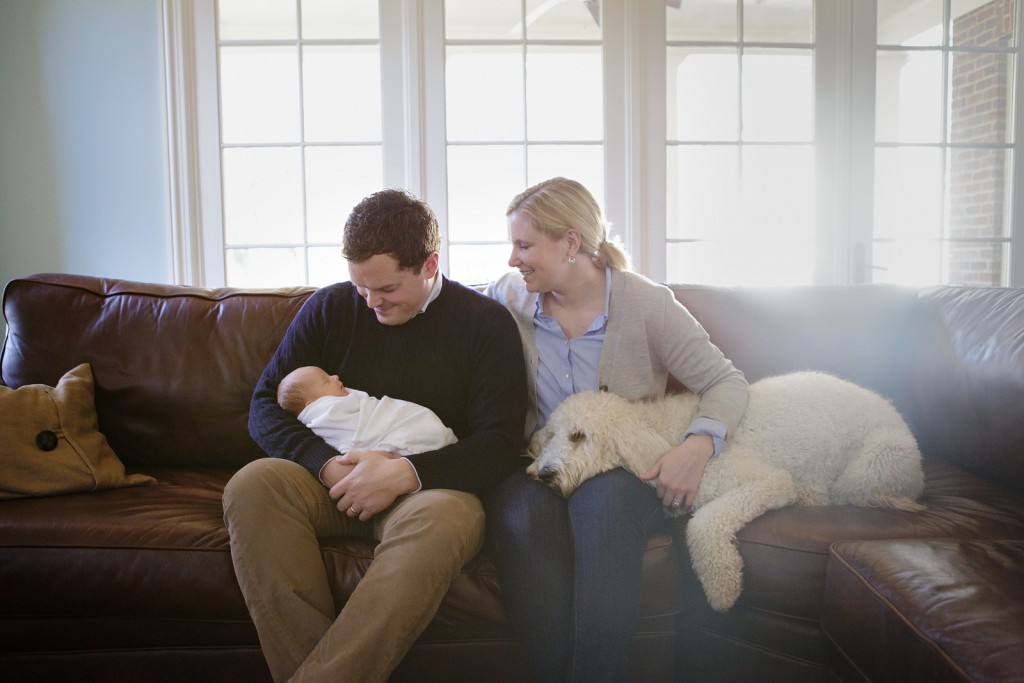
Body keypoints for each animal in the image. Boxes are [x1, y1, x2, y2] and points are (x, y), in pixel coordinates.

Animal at [532, 374, 925, 614]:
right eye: (550, 434)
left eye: (579, 436)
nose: (544, 474)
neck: (662, 434)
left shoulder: (768, 480)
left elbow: (702, 524)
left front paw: (722, 589)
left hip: (873, 461)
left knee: (859, 494)